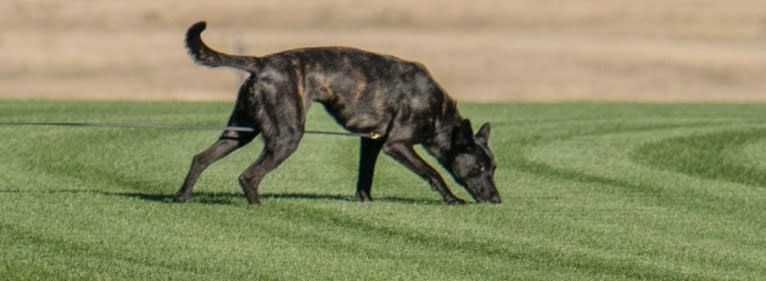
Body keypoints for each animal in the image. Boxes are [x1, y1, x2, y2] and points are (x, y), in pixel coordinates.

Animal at [172, 21, 504, 203]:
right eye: (480, 168)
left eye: (493, 168)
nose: (497, 200)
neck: (438, 112)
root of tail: (262, 62)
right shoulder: (397, 144)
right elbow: (433, 172)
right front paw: (452, 199)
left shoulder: (371, 142)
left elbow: (365, 176)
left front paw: (366, 201)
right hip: (286, 137)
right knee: (248, 176)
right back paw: (258, 205)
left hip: (240, 132)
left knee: (201, 158)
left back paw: (181, 197)